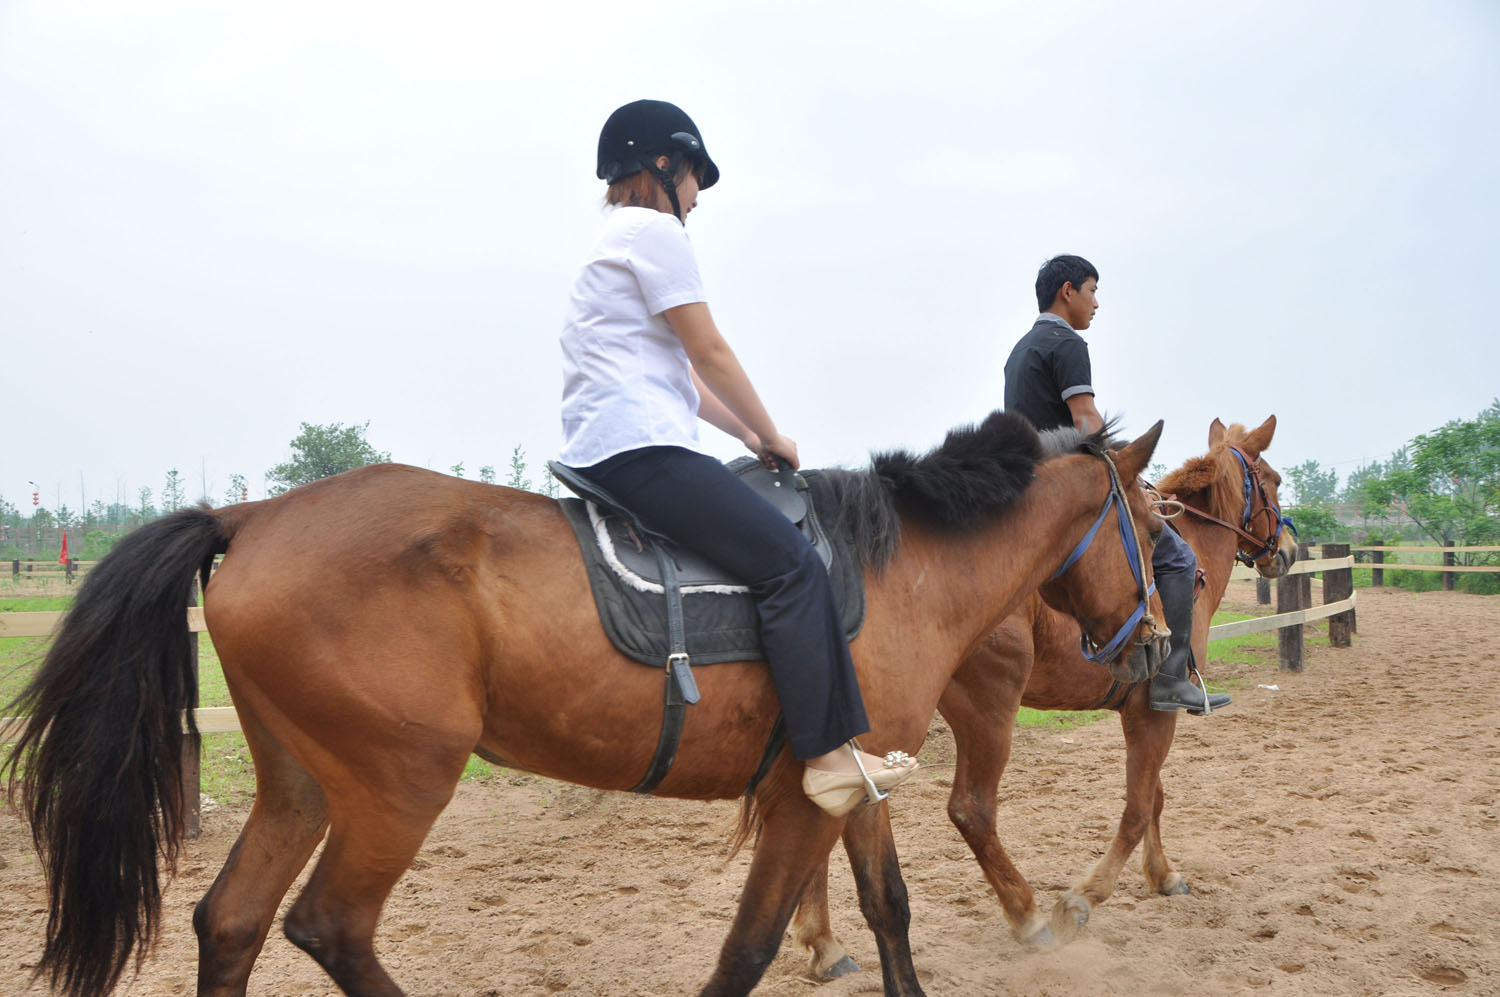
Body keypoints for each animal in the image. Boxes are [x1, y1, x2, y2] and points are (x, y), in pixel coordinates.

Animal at [5, 407, 1164, 989]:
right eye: (1154, 531)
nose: (1156, 643)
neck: (898, 571)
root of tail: (253, 514)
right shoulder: (804, 796)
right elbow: (749, 945)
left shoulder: (856, 782)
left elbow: (889, 910)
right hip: (397, 786)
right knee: (331, 927)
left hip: (300, 784)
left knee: (233, 921)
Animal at [792, 416, 1296, 977]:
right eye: (1273, 479)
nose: (1288, 552)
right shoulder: (1153, 711)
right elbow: (1139, 805)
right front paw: (1082, 898)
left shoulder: (1142, 715)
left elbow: (1154, 797)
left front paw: (1162, 874)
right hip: (986, 709)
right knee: (970, 810)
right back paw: (1027, 915)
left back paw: (826, 944)